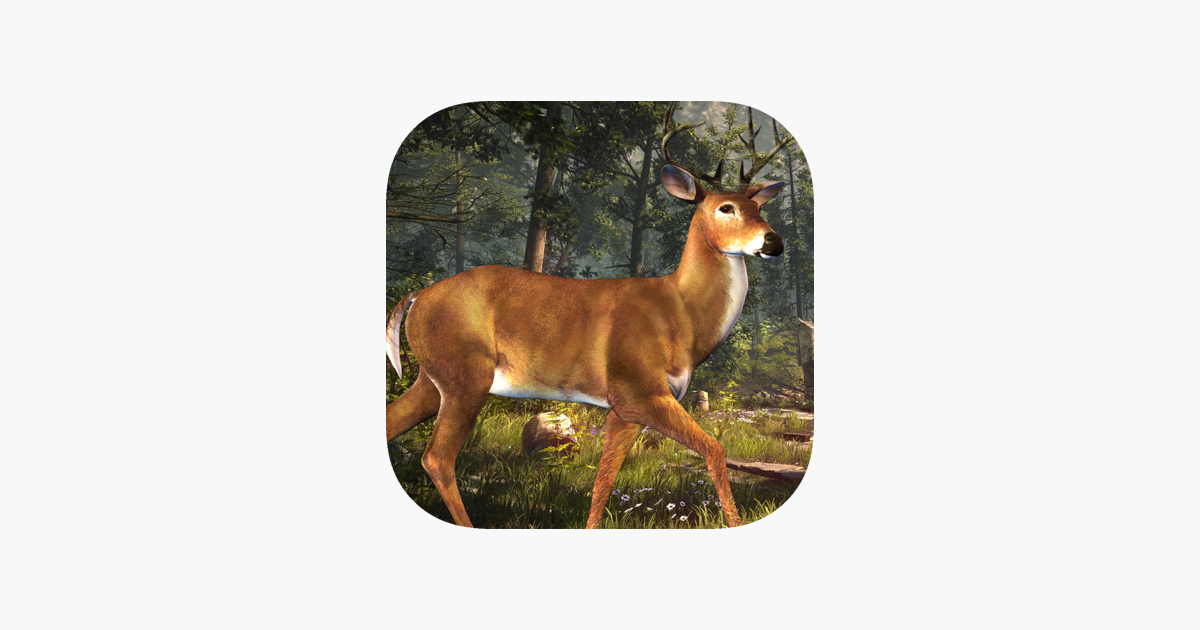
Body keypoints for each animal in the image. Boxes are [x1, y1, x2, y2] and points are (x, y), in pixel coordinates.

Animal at [386, 108, 793, 528]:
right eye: (726, 208)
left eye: (759, 208)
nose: (774, 242)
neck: (681, 314)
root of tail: (418, 295)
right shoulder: (639, 389)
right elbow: (714, 449)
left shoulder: (625, 410)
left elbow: (603, 481)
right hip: (466, 373)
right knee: (437, 457)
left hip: (434, 377)